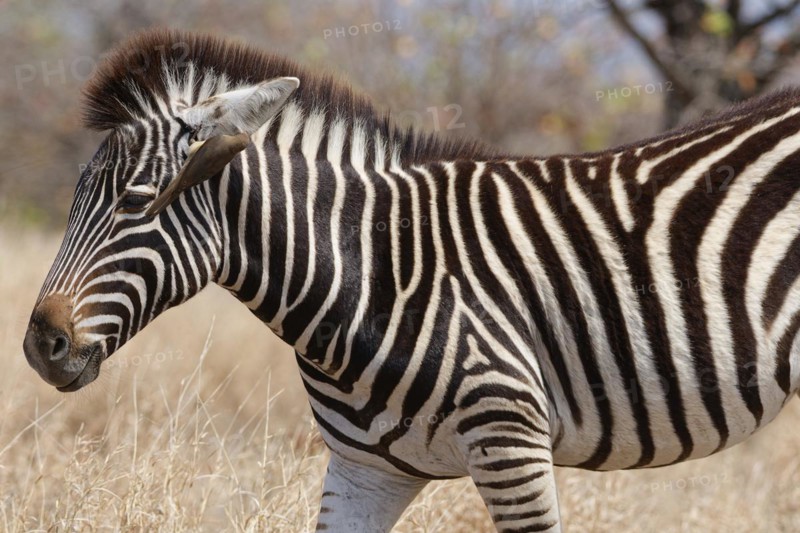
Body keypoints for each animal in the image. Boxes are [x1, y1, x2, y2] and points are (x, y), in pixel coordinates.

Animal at [22, 28, 800, 532]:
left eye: (135, 202)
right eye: (74, 196)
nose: (39, 346)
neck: (371, 269)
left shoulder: (511, 442)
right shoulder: (364, 471)